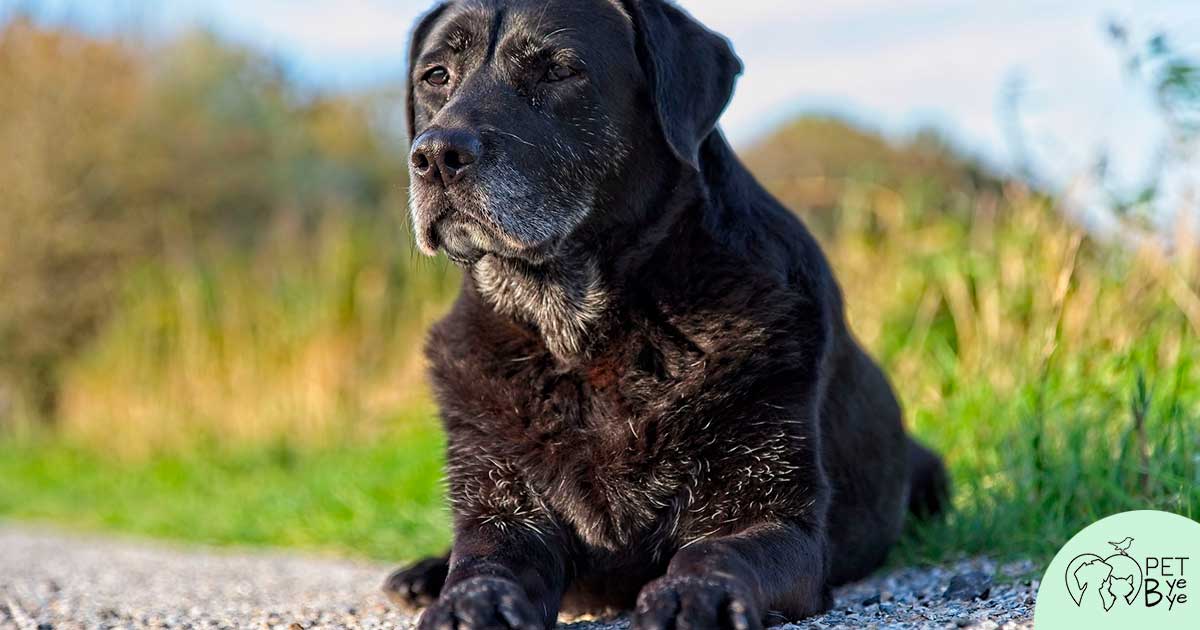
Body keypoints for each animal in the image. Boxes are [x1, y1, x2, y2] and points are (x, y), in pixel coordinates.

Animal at [384, 1, 945, 628]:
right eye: (435, 76)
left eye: (559, 71)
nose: (435, 154)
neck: (580, 333)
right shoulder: (502, 508)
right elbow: (483, 560)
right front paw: (465, 599)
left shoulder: (773, 516)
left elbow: (715, 552)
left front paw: (691, 593)